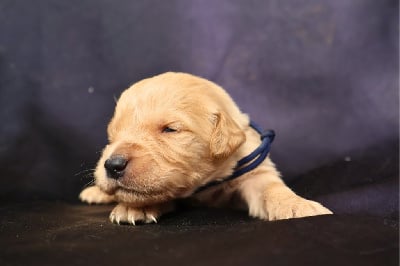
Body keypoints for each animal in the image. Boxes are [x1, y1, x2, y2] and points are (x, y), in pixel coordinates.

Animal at [79, 72, 332, 224]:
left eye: (170, 129)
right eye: (112, 134)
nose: (112, 165)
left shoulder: (255, 173)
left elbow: (271, 188)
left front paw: (298, 206)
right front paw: (135, 206)